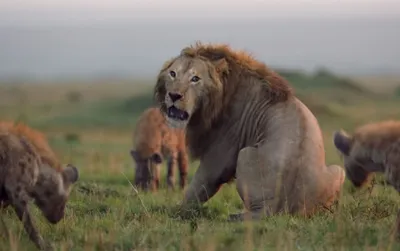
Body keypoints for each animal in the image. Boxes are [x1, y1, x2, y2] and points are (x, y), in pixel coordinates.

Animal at [153, 42, 346, 221]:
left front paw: (173, 211)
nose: (174, 95)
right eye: (173, 73)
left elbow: (199, 186)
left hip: (245, 154)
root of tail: (285, 206)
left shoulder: (220, 154)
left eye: (195, 78)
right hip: (338, 171)